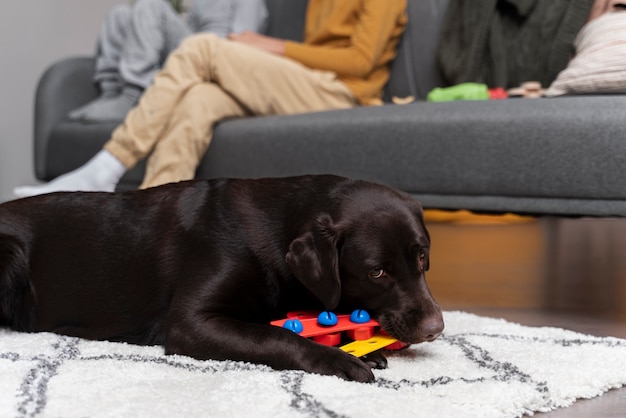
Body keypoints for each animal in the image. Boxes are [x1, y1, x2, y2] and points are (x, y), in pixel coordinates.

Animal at [2, 176, 446, 382]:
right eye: (376, 271)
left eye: (423, 258)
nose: (436, 328)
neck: (276, 226)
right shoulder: (191, 324)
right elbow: (277, 336)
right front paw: (338, 360)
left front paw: (361, 348)